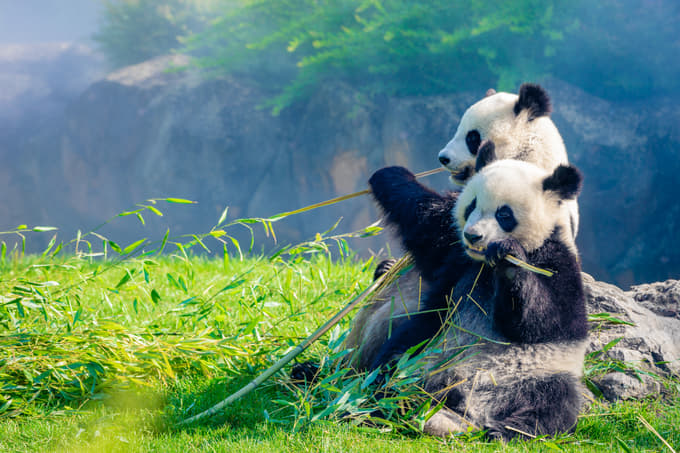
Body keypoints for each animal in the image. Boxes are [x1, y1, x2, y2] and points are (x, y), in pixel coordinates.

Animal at [346, 145, 587, 439]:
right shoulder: (457, 257)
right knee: (394, 363)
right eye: (471, 205)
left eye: (504, 214)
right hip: (425, 350)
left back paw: (505, 430)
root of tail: (468, 407)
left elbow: (544, 321)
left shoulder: (558, 263)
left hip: (536, 374)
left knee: (555, 402)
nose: (473, 236)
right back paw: (379, 401)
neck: (484, 265)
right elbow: (426, 222)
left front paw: (509, 258)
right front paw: (390, 174)